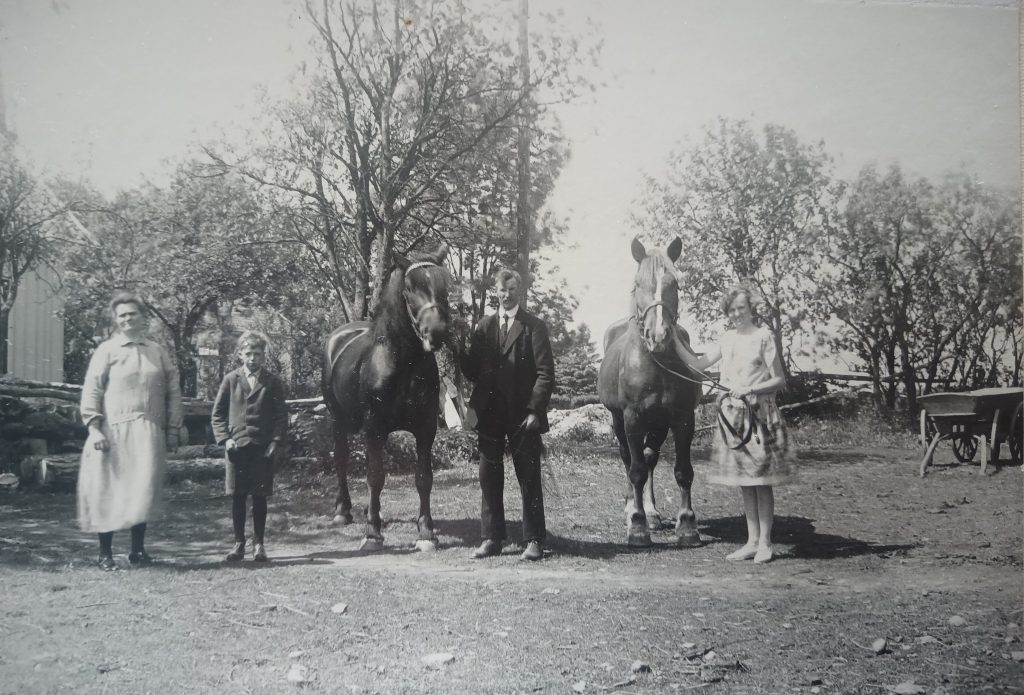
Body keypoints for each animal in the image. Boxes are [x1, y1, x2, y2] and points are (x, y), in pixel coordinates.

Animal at [593, 239, 704, 548]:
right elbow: (636, 470)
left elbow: (683, 471)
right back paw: (633, 508)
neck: (657, 362)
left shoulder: (683, 419)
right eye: (637, 284)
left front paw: (687, 526)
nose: (659, 336)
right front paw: (637, 525)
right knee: (629, 459)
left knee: (649, 457)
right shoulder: (632, 419)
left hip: (659, 423)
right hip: (619, 421)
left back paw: (652, 512)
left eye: (674, 284)